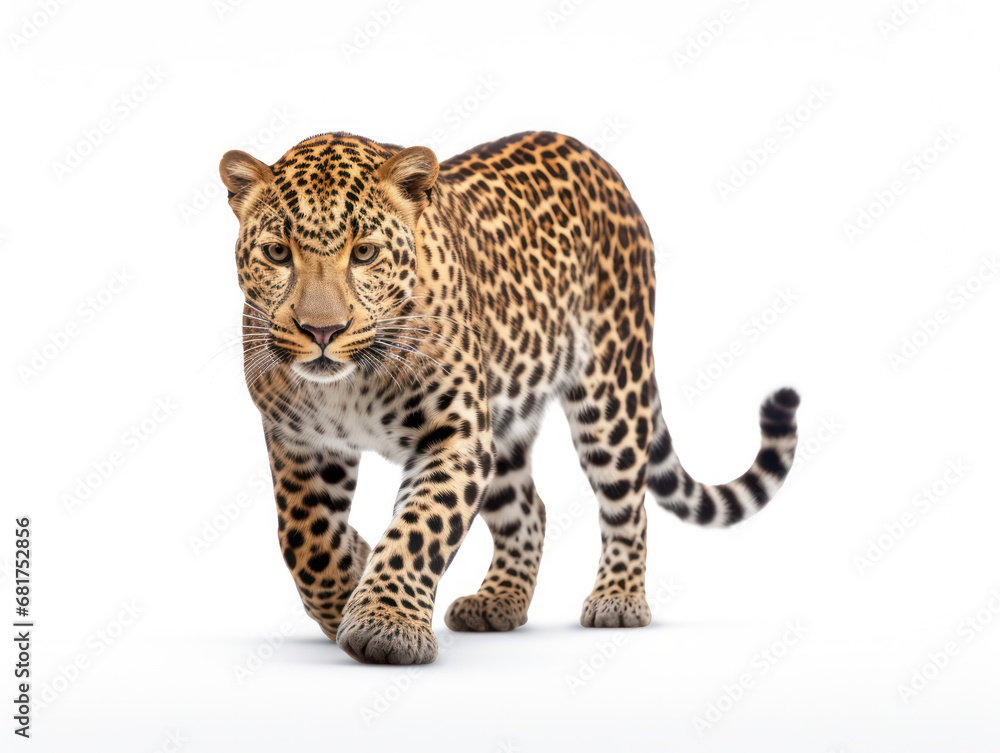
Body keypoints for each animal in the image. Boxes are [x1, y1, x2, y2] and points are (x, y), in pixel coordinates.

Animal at [219, 130, 800, 665]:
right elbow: (305, 539)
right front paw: (350, 587)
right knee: (530, 510)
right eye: (277, 253)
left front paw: (384, 624)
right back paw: (498, 602)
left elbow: (420, 526)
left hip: (610, 392)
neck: (351, 382)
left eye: (364, 253)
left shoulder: (456, 436)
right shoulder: (299, 443)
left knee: (626, 505)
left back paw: (618, 598)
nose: (322, 331)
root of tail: (594, 159)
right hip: (507, 422)